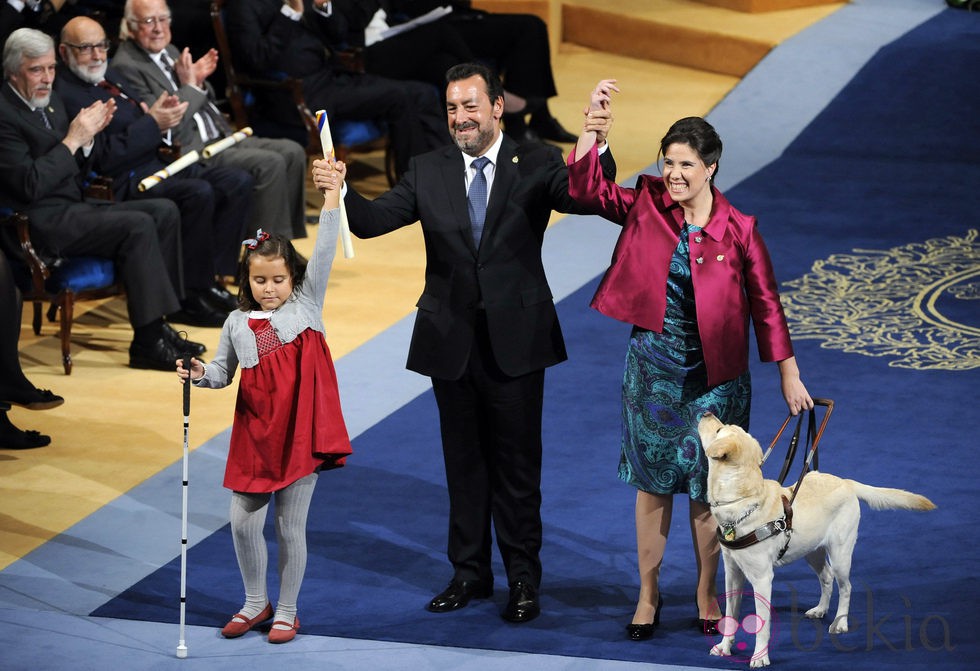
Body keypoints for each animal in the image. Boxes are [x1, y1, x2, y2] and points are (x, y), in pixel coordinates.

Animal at [696, 414, 936, 668]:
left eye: (719, 430)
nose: (706, 414)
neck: (742, 503)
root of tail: (847, 482)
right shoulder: (733, 573)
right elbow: (730, 615)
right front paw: (724, 647)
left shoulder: (762, 579)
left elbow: (762, 624)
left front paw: (760, 657)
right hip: (812, 551)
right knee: (826, 578)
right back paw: (820, 609)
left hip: (841, 554)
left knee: (846, 586)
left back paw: (840, 622)